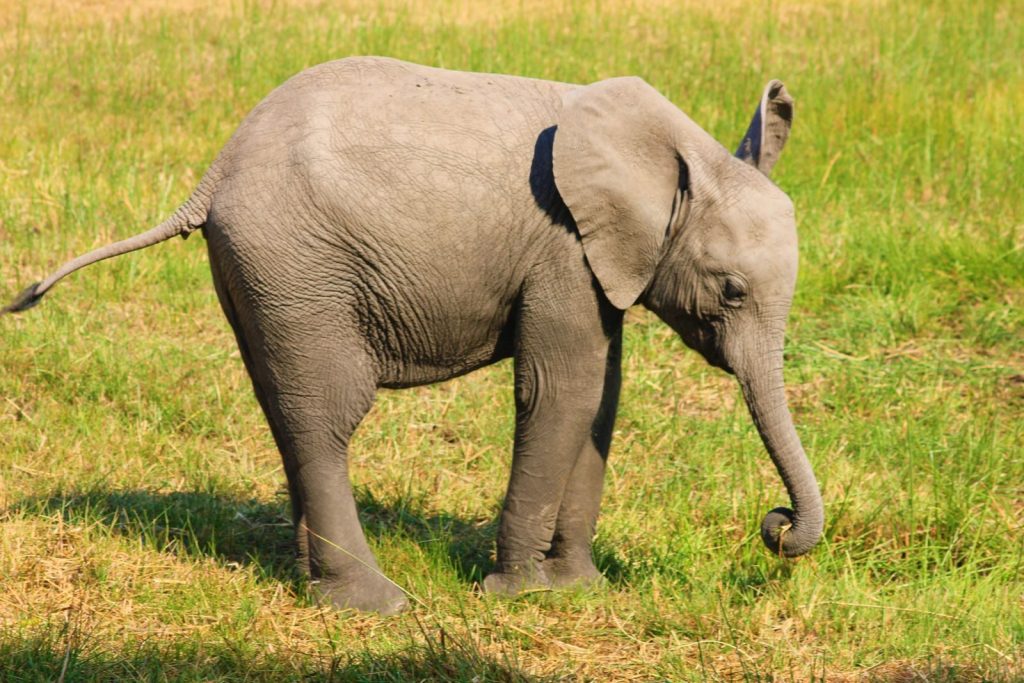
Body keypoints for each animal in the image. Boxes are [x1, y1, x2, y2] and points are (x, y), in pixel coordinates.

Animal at [3, 57, 824, 615]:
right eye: (731, 290)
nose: (776, 527)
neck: (678, 154)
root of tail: (211, 177)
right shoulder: (562, 250)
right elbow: (561, 392)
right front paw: (518, 594)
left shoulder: (601, 265)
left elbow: (601, 397)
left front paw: (579, 589)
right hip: (297, 265)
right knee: (326, 416)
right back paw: (376, 604)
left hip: (262, 277)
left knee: (286, 411)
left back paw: (318, 584)